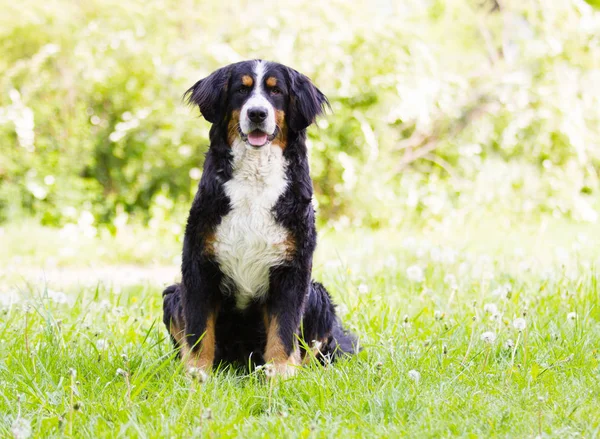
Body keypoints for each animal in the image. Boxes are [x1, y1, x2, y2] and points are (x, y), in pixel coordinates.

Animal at [162, 60, 356, 380]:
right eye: (241, 90)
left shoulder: (292, 269)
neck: (255, 179)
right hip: (174, 293)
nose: (257, 113)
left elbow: (283, 329)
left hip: (318, 295)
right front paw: (197, 374)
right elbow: (199, 330)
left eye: (276, 91)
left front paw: (280, 373)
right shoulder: (200, 263)